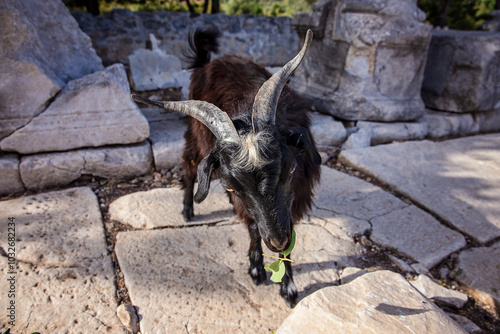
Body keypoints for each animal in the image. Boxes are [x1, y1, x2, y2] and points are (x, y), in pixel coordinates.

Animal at [132, 29, 320, 308]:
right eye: (234, 186)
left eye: (289, 171)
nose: (276, 240)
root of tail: (208, 61)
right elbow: (253, 227)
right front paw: (257, 269)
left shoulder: (296, 197)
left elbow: (289, 238)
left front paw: (288, 287)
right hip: (195, 136)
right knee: (189, 164)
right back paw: (187, 210)